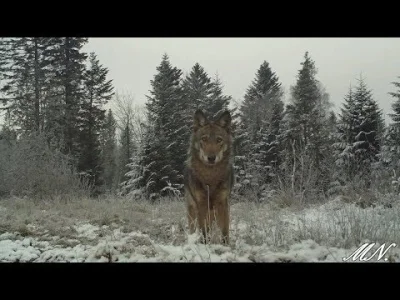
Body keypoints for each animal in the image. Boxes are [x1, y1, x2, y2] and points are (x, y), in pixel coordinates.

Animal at [182, 109, 233, 245]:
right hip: (192, 210)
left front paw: (226, 247)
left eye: (219, 140)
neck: (210, 176)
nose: (211, 158)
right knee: (194, 228)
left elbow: (224, 231)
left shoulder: (223, 204)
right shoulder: (201, 205)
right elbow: (204, 231)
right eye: (204, 139)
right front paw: (205, 245)